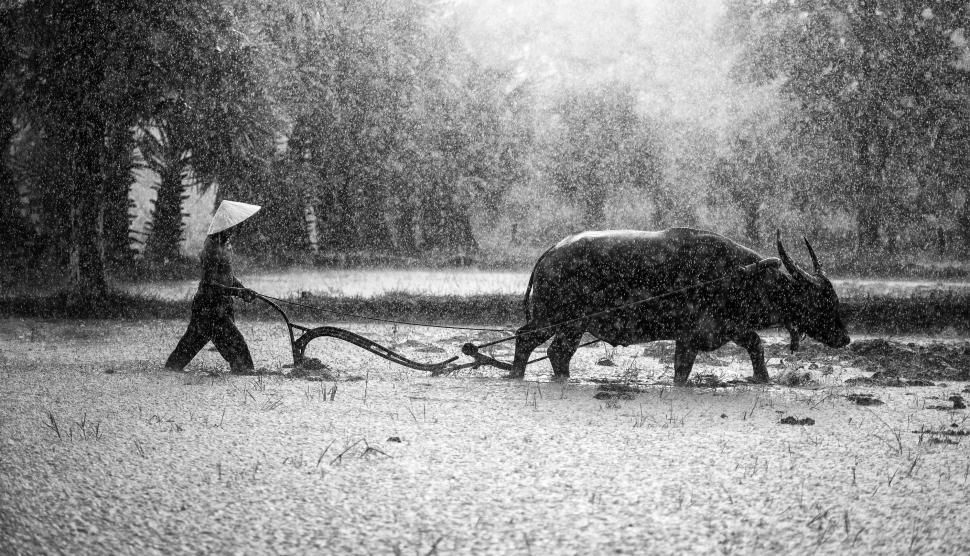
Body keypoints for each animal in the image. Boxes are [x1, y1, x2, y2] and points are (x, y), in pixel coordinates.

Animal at [510, 228, 852, 384]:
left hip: (574, 325)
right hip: (553, 317)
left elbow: (756, 346)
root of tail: (551, 251)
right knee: (525, 337)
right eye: (823, 303)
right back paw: (515, 375)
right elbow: (684, 368)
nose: (845, 338)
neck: (737, 275)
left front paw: (762, 379)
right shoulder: (693, 335)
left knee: (558, 352)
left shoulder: (729, 329)